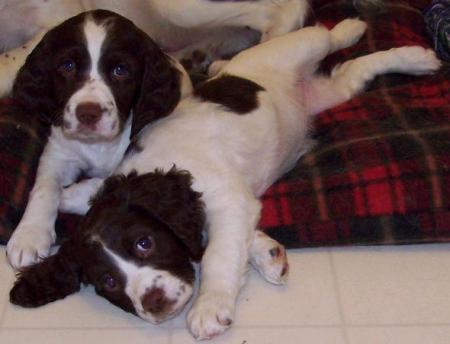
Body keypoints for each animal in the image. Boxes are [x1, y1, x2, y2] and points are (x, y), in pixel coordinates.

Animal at [8, 18, 442, 338]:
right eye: (109, 282)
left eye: (145, 243)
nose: (155, 303)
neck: (150, 170)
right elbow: (76, 189)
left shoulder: (228, 201)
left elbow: (218, 252)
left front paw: (211, 305)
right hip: (333, 92)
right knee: (354, 70)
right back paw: (409, 57)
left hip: (298, 45)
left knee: (326, 35)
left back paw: (374, 36)